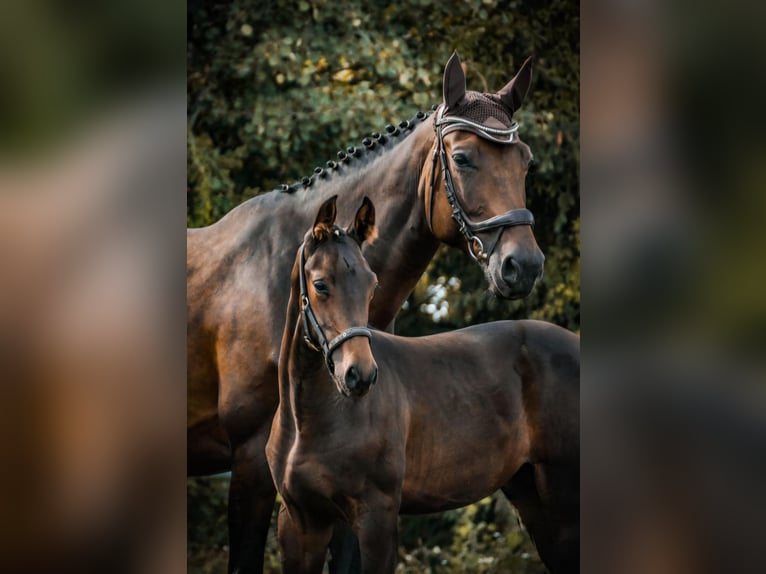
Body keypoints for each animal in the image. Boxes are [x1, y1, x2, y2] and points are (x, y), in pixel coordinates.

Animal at [266, 196, 579, 574]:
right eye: (321, 284)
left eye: (372, 286)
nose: (360, 374)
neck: (308, 420)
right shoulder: (301, 523)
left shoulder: (376, 517)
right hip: (535, 499)